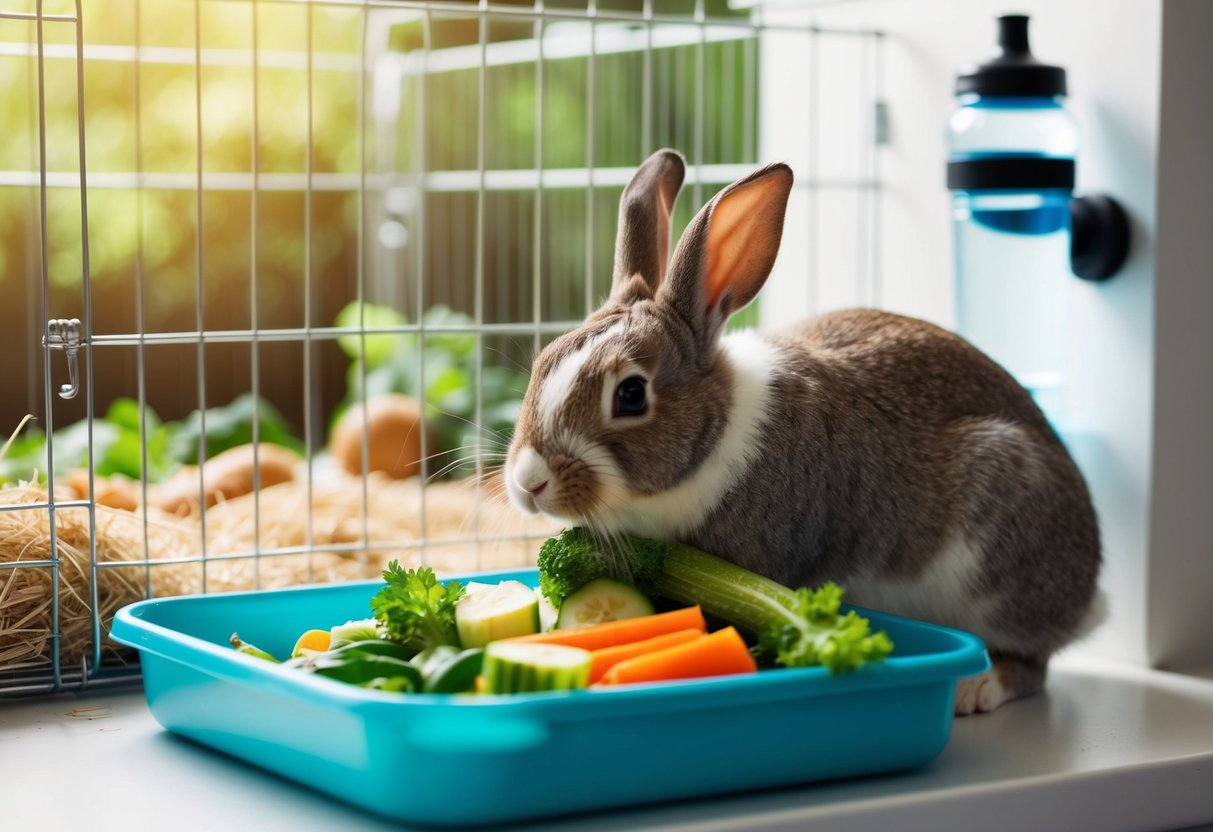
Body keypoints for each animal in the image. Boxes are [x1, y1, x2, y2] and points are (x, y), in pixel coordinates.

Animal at [503, 148, 1102, 714]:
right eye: (545, 359)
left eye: (630, 395)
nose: (529, 483)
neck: (714, 431)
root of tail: (1089, 594)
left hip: (999, 543)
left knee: (1032, 662)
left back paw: (978, 686)